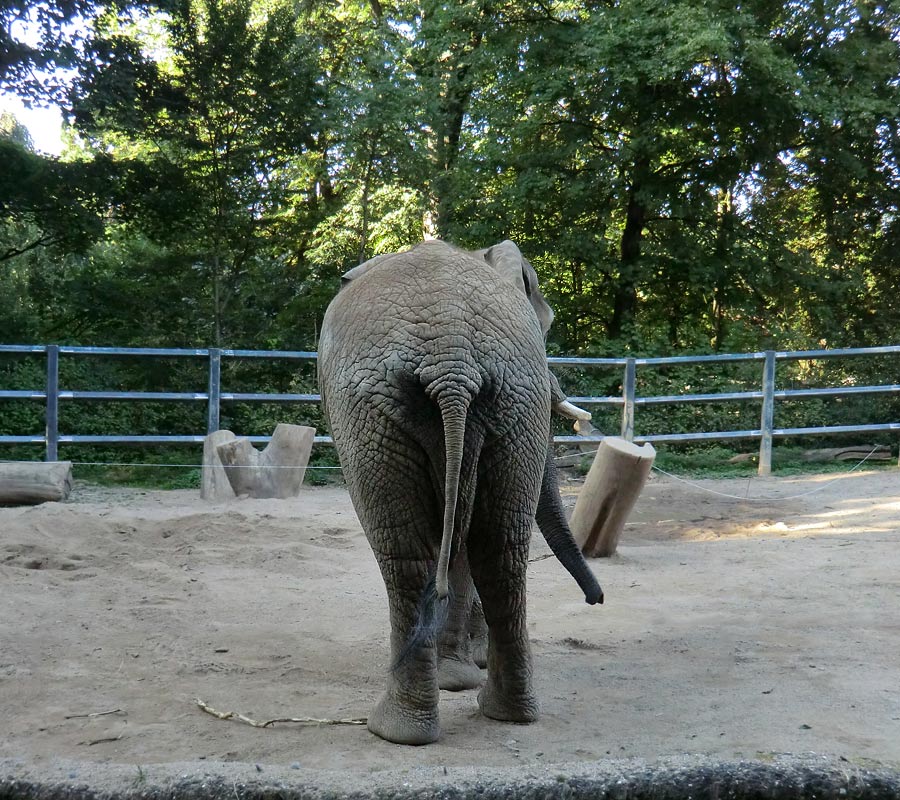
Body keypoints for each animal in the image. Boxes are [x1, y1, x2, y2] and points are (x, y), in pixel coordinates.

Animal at [320, 238, 600, 744]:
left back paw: (396, 727)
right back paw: (501, 710)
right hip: (511, 400)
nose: (596, 599)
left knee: (410, 557)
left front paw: (461, 671)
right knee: (499, 548)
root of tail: (451, 360)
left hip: (381, 411)